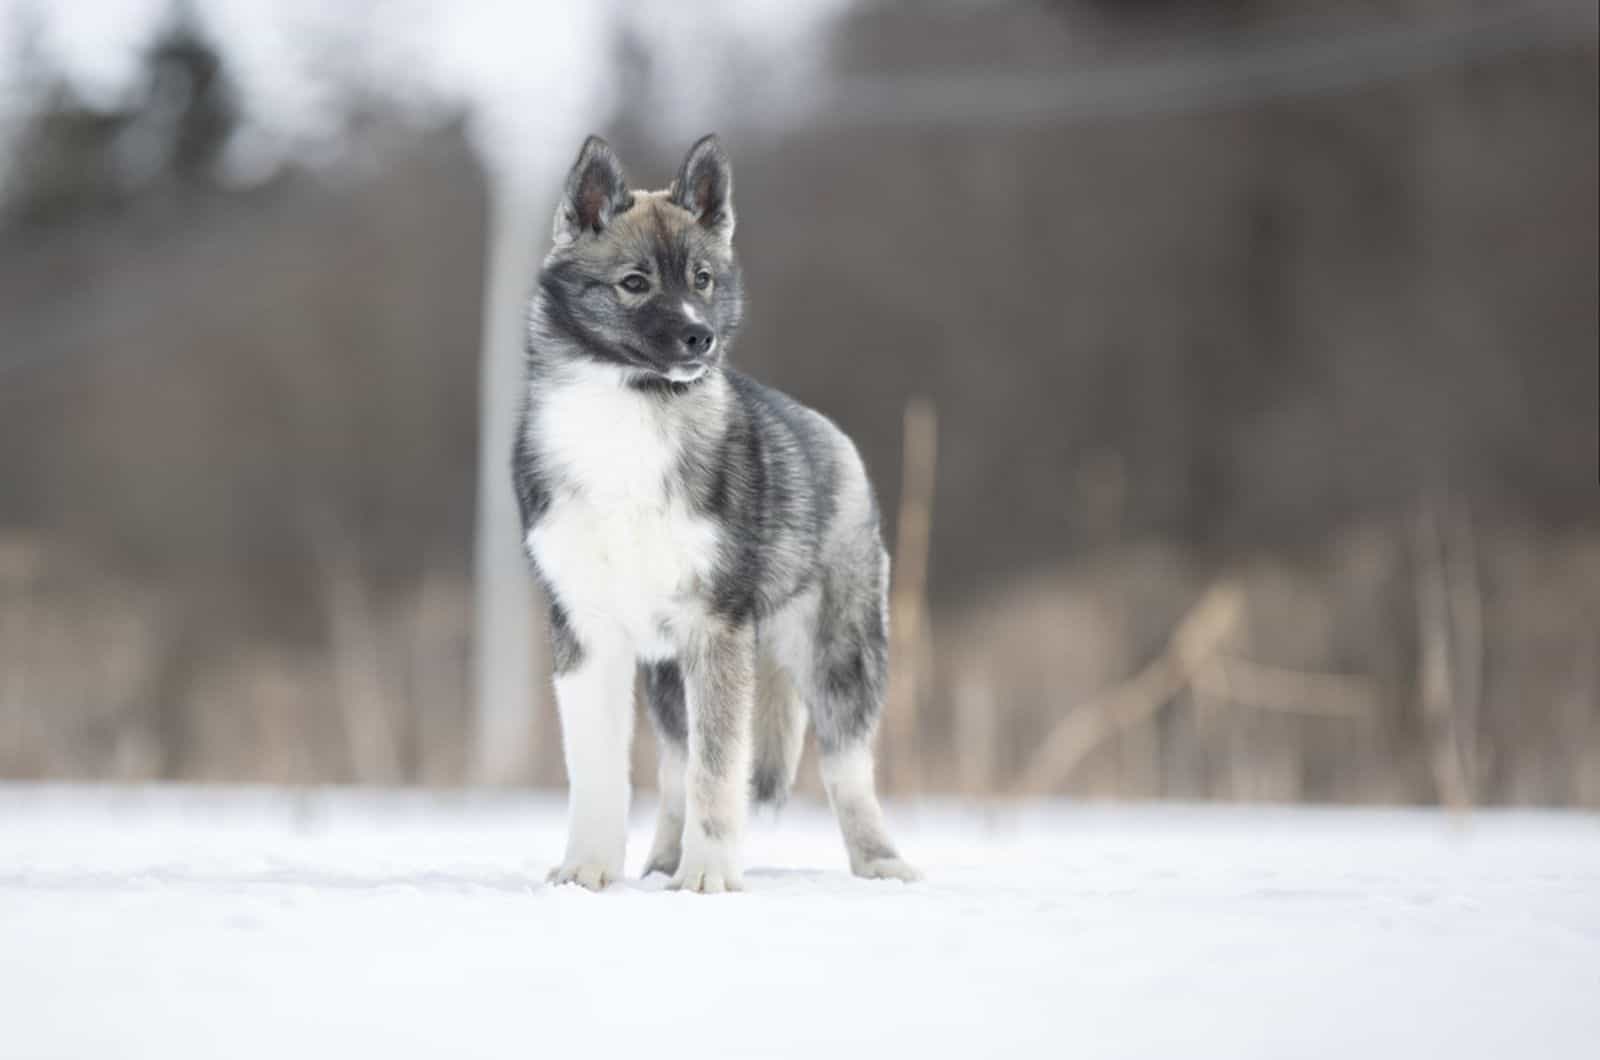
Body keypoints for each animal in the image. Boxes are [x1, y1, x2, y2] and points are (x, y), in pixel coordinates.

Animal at [512, 132, 915, 890]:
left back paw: (879, 861)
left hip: (837, 657)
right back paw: (662, 859)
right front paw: (587, 869)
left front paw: (710, 878)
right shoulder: (588, 634)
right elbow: (600, 770)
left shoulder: (717, 630)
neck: (629, 416)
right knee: (675, 763)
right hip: (671, 672)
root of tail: (829, 433)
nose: (700, 338)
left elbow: (720, 768)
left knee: (847, 768)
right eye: (634, 282)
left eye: (702, 279)